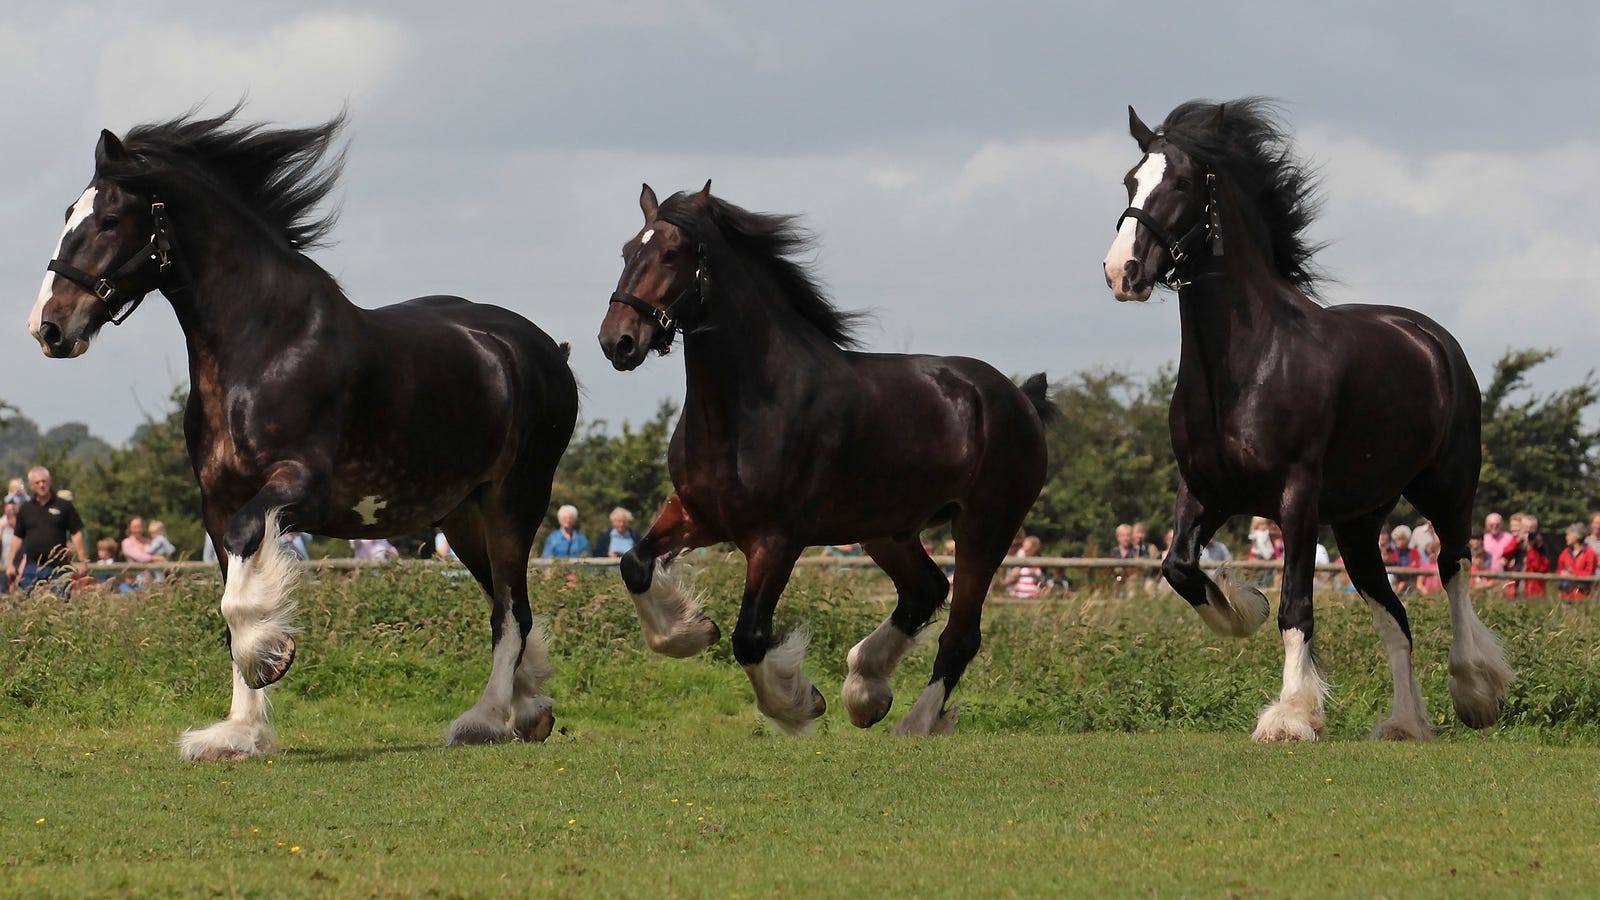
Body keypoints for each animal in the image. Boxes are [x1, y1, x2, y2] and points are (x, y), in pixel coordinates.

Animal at [31, 110, 579, 755]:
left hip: (514, 502)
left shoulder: (298, 490)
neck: (267, 345)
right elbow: (229, 603)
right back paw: (530, 709)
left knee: (510, 611)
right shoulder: (218, 505)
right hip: (464, 516)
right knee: (506, 598)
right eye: (70, 212)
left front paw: (271, 656)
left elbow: (240, 599)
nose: (49, 328)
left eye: (111, 220)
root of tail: (543, 350)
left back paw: (487, 720)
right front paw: (238, 733)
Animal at [595, 180, 1056, 730]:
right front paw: (693, 629)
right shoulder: (696, 514)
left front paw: (798, 705)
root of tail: (1018, 399)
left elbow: (749, 638)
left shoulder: (776, 540)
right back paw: (866, 690)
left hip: (986, 529)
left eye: (670, 254)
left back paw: (914, 724)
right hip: (887, 529)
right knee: (924, 591)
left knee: (960, 634)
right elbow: (634, 565)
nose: (617, 342)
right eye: (626, 252)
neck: (748, 406)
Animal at [1100, 99, 1510, 743]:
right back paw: (1405, 723)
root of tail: (1431, 339)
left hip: (1447, 487)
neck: (1245, 364)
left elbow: (1297, 605)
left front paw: (1292, 714)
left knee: (1454, 568)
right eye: (1129, 180)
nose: (1124, 271)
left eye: (1183, 182)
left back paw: (1475, 689)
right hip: (1359, 523)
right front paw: (1244, 604)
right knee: (1394, 618)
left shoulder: (1297, 497)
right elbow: (1179, 568)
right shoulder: (1205, 490)